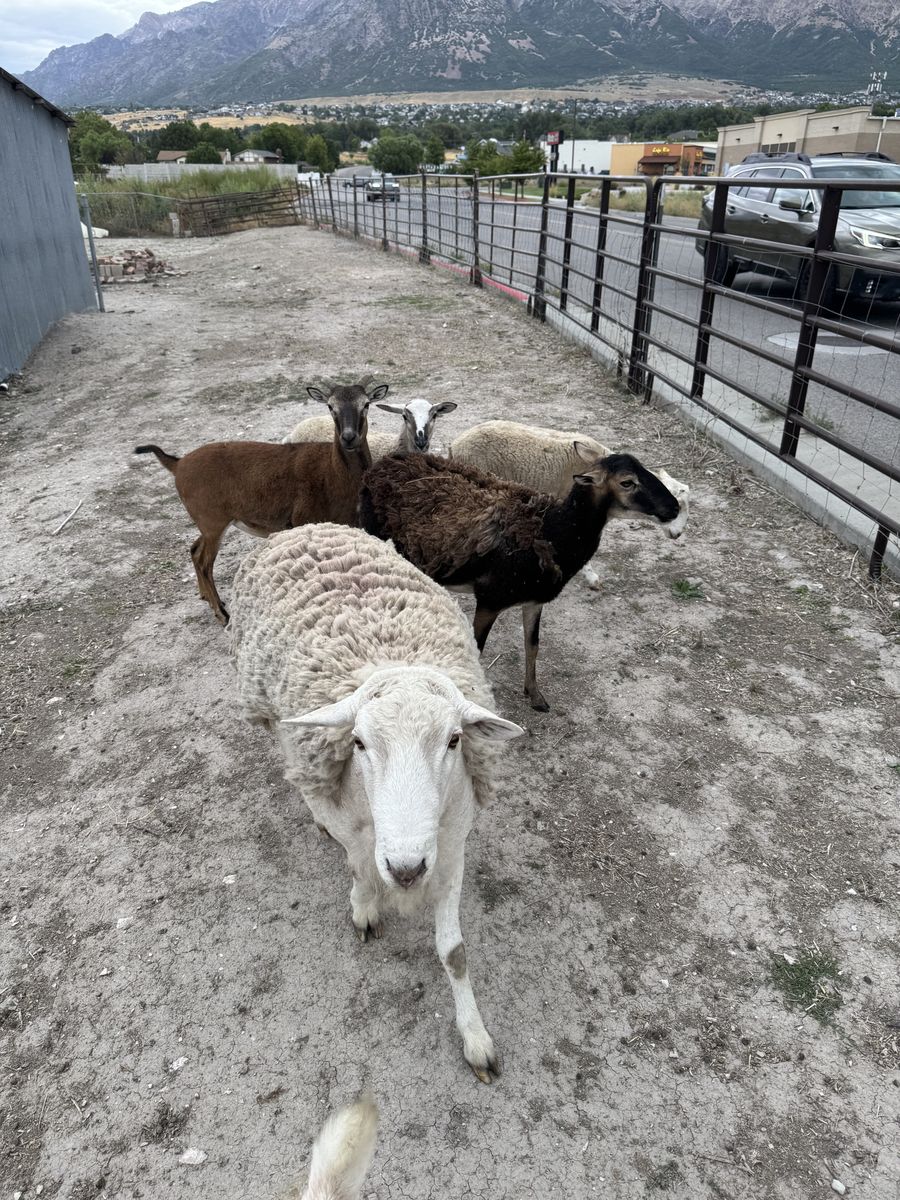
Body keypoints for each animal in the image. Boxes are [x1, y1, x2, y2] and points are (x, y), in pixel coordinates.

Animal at [134, 376, 388, 626]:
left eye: (366, 404)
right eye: (330, 406)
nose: (348, 437)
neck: (332, 475)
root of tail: (177, 465)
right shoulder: (303, 521)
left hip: (208, 523)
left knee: (194, 549)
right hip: (212, 520)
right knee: (203, 561)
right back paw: (222, 614)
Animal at [229, 523, 524, 1082]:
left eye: (455, 740)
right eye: (359, 743)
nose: (407, 869)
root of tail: (303, 527)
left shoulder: (451, 844)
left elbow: (454, 952)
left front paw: (475, 1037)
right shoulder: (357, 830)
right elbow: (361, 869)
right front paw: (365, 907)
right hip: (269, 713)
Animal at [360, 449, 680, 712]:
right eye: (627, 482)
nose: (675, 508)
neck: (552, 532)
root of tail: (384, 462)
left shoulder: (534, 600)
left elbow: (532, 644)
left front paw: (535, 696)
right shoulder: (489, 600)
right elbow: (477, 649)